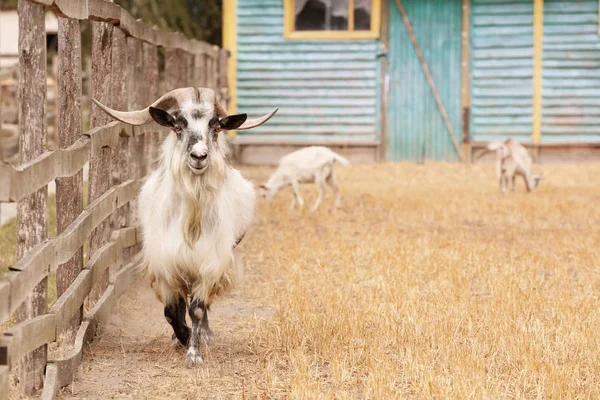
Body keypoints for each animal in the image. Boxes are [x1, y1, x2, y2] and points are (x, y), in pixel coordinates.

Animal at [92, 88, 278, 368]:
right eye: (178, 126)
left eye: (216, 127)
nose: (199, 156)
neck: (191, 222)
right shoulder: (166, 265)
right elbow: (171, 311)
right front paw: (182, 337)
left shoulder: (209, 263)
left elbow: (198, 308)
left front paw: (194, 351)